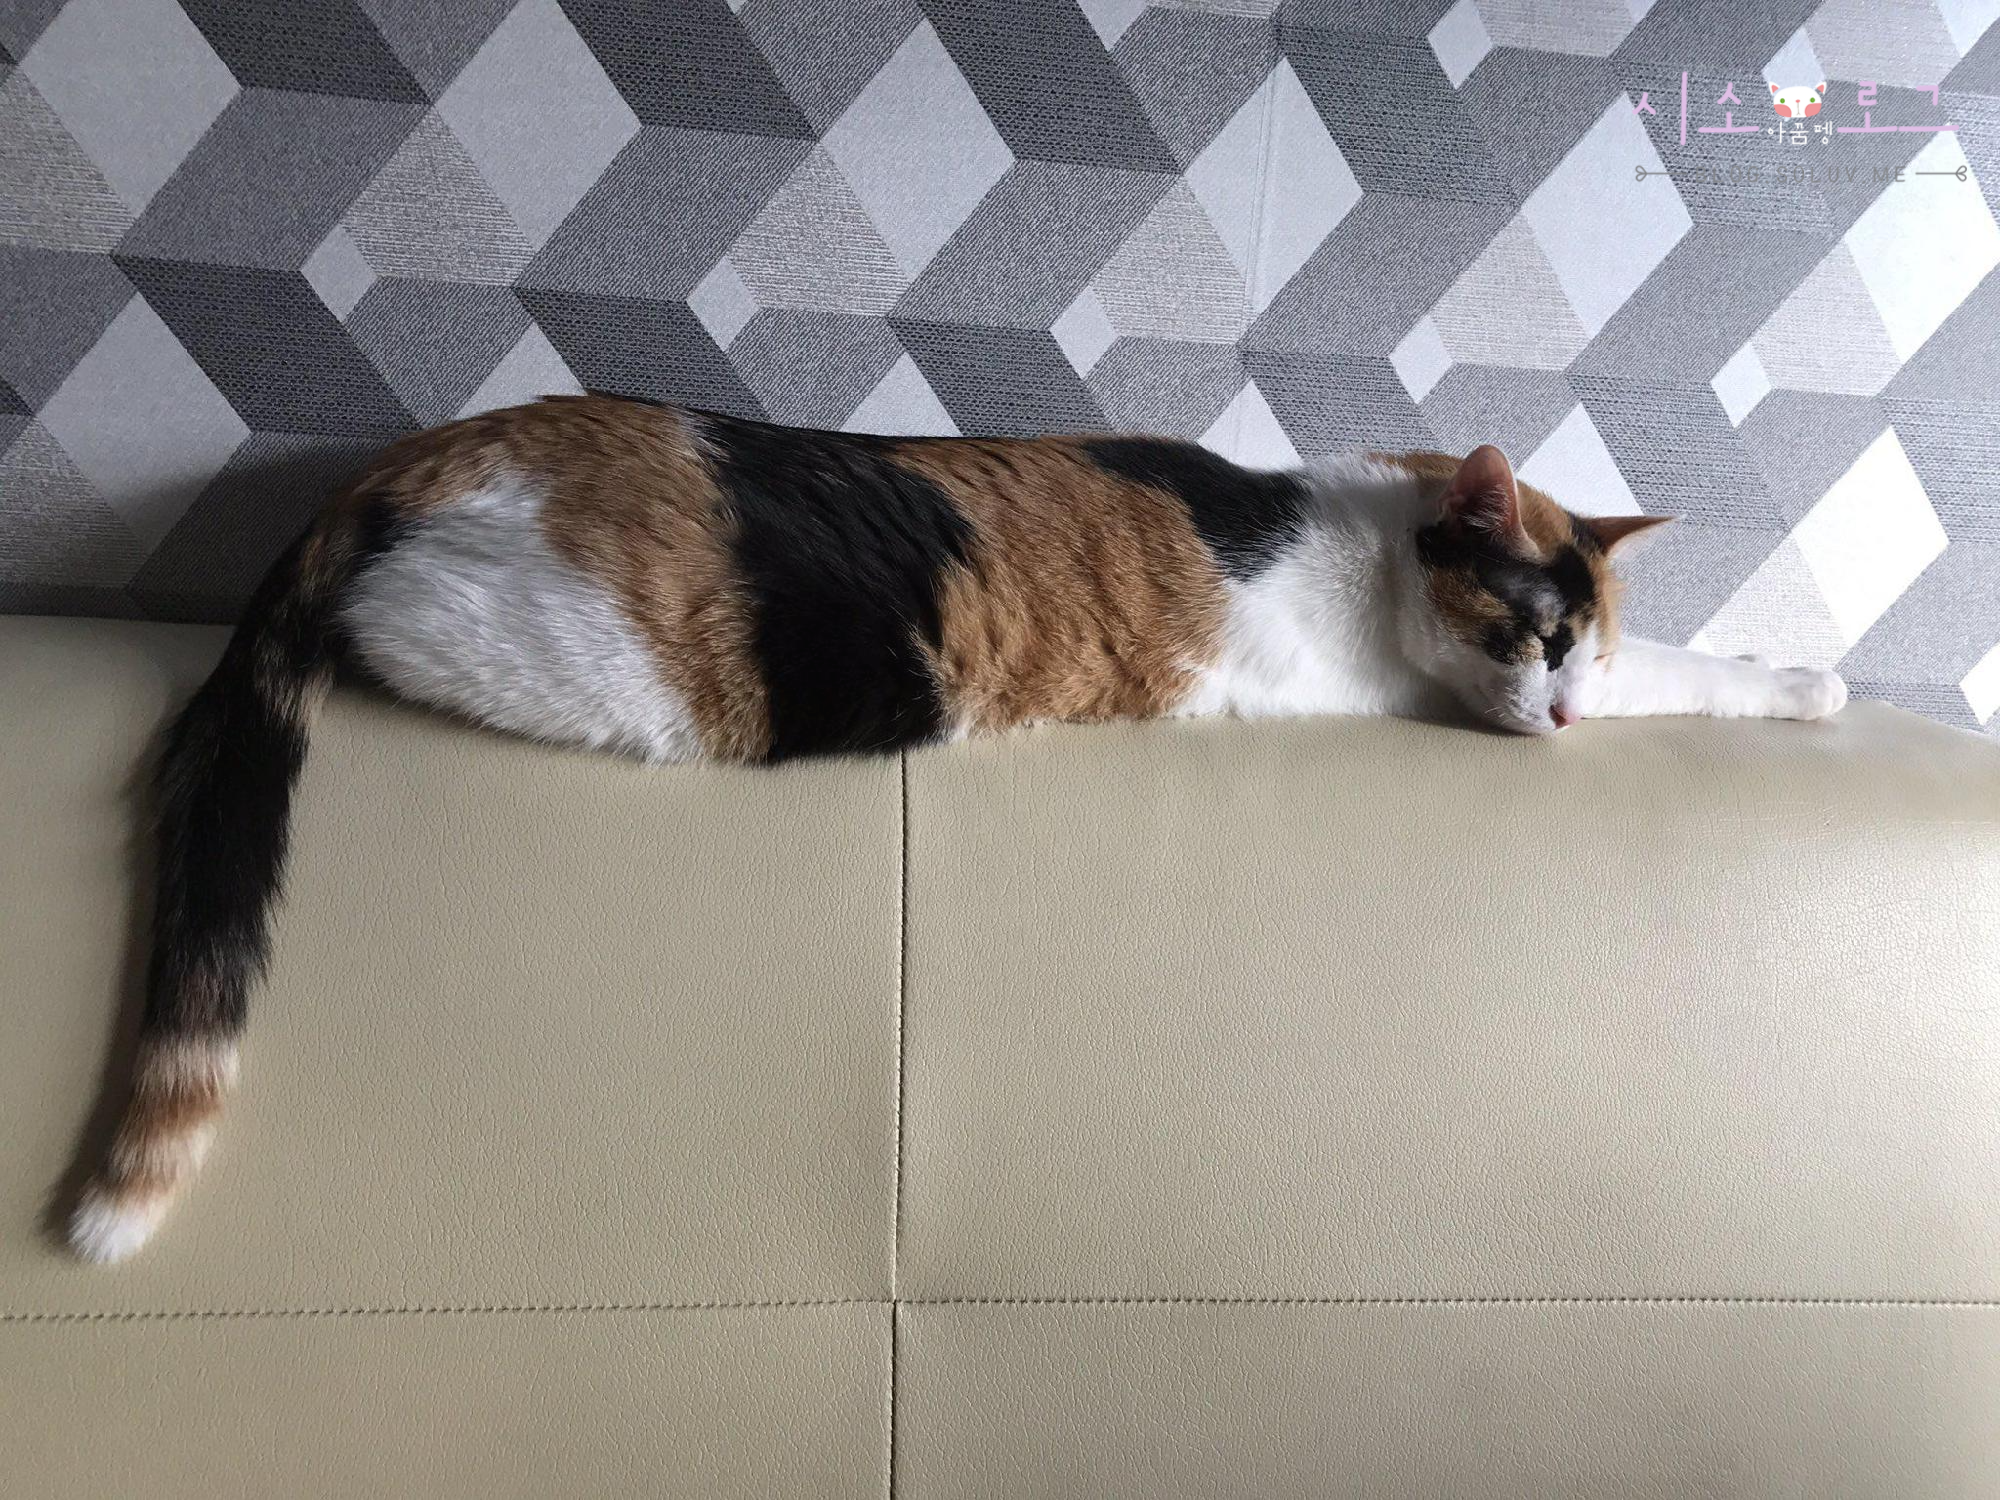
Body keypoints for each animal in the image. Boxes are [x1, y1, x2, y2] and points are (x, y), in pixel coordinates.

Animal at [67, 395, 1847, 1262]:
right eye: (1539, 639)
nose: (1559, 716)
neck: (1361, 517)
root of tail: (420, 459)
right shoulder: (1406, 690)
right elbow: (1696, 674)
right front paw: (1807, 678)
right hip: (618, 663)